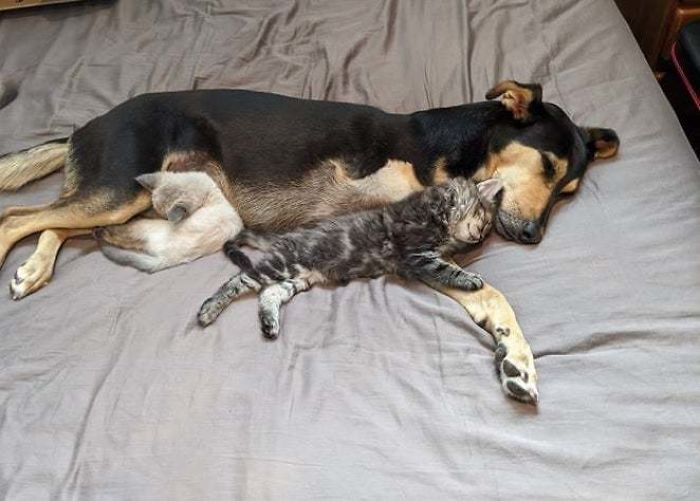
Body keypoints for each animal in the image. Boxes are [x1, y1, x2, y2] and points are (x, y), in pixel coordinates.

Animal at [96, 171, 243, 272]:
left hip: (144, 227)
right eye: (162, 214)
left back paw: (99, 231)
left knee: (120, 234)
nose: (165, 219)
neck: (207, 193)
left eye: (166, 216)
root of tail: (170, 259)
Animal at [197, 177, 503, 339]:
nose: (479, 238)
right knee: (238, 280)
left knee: (268, 293)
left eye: (486, 232)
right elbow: (447, 270)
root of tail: (286, 236)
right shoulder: (416, 253)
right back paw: (209, 310)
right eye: (486, 221)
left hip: (298, 276)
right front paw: (471, 279)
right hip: (281, 263)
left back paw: (269, 323)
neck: (439, 208)